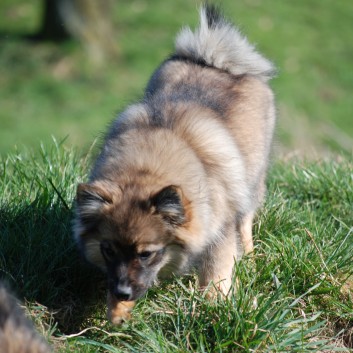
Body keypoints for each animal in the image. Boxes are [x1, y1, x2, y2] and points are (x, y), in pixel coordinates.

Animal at [73, 4, 276, 324]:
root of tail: (215, 59)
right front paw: (117, 312)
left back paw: (251, 256)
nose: (122, 292)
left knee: (246, 223)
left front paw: (214, 306)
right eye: (108, 250)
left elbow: (217, 273)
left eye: (146, 253)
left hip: (252, 182)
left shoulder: (219, 231)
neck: (146, 169)